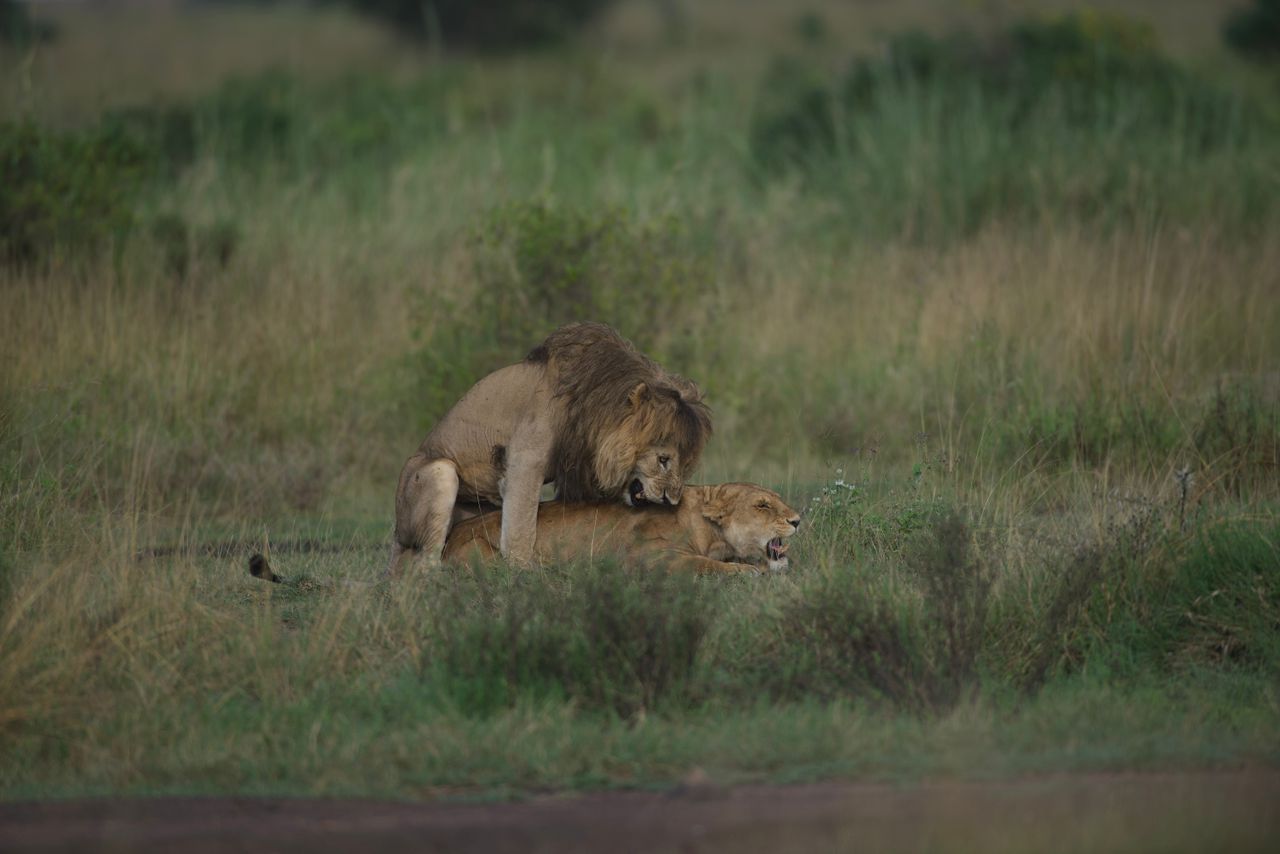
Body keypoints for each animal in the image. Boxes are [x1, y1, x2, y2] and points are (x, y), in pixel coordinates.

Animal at [389, 323, 713, 575]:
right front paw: (525, 575)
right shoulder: (523, 465)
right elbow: (520, 531)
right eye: (663, 459)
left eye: (686, 466)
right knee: (424, 564)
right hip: (439, 473)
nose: (672, 501)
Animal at [443, 482, 802, 574]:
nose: (797, 520)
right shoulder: (653, 557)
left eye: (778, 499)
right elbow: (707, 566)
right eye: (762, 505)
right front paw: (749, 572)